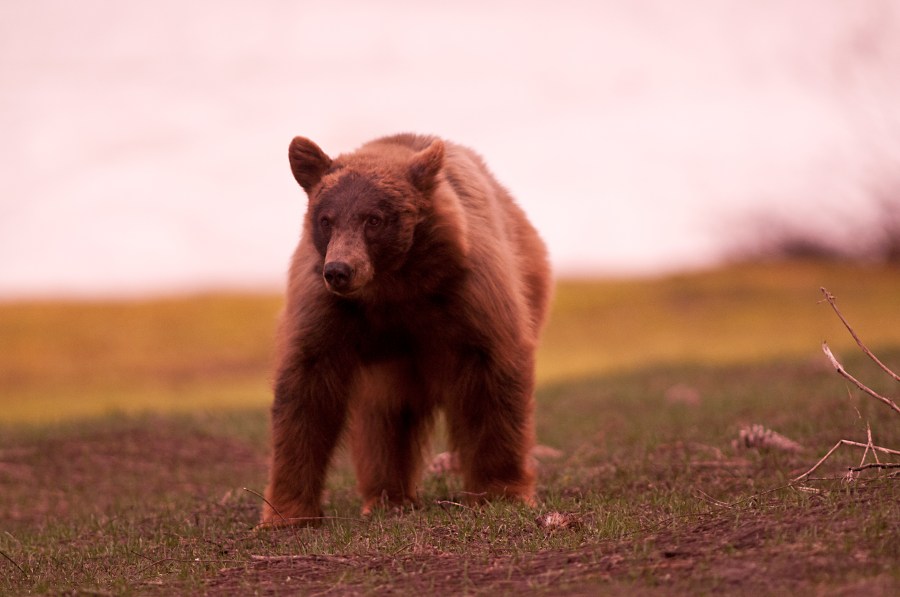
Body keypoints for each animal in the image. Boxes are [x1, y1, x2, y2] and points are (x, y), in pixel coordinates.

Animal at [260, 133, 552, 524]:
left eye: (374, 219)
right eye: (326, 219)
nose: (339, 270)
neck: (394, 287)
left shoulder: (469, 292)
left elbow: (493, 377)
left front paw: (502, 491)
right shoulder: (327, 307)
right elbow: (305, 390)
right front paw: (287, 513)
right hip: (389, 368)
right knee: (384, 417)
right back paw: (388, 496)